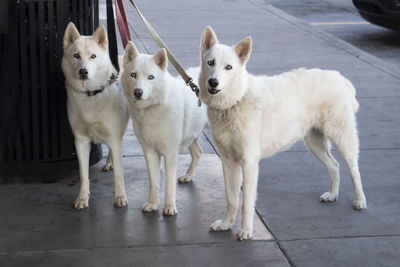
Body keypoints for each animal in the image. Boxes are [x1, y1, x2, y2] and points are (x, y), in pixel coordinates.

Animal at [61, 23, 129, 210]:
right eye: (76, 55)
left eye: (93, 56)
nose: (83, 71)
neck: (91, 94)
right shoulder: (81, 140)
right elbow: (84, 175)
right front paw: (83, 198)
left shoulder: (115, 136)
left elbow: (119, 174)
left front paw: (120, 197)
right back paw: (110, 162)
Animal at [120, 42, 208, 217]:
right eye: (133, 75)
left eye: (150, 77)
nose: (138, 92)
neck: (152, 108)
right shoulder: (149, 152)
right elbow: (154, 182)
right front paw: (153, 203)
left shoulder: (170, 153)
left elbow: (169, 184)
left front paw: (169, 207)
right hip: (191, 135)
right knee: (197, 152)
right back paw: (188, 176)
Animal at [198, 26, 368, 242]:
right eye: (210, 63)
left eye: (229, 67)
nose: (213, 82)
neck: (236, 100)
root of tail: (340, 78)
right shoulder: (228, 162)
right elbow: (232, 198)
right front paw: (226, 224)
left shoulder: (249, 163)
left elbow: (246, 203)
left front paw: (246, 231)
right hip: (314, 143)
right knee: (334, 165)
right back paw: (332, 195)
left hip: (342, 137)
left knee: (354, 169)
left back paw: (360, 200)